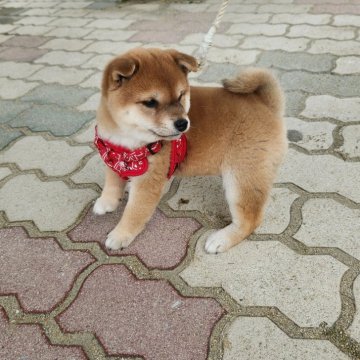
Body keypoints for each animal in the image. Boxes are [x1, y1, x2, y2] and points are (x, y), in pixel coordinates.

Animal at [93, 47, 286, 253]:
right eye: (150, 102)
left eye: (180, 96)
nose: (182, 123)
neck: (127, 138)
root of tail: (267, 104)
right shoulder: (112, 153)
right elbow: (112, 181)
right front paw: (107, 201)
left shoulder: (148, 181)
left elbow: (135, 212)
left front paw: (120, 234)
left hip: (241, 175)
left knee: (250, 220)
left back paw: (221, 239)